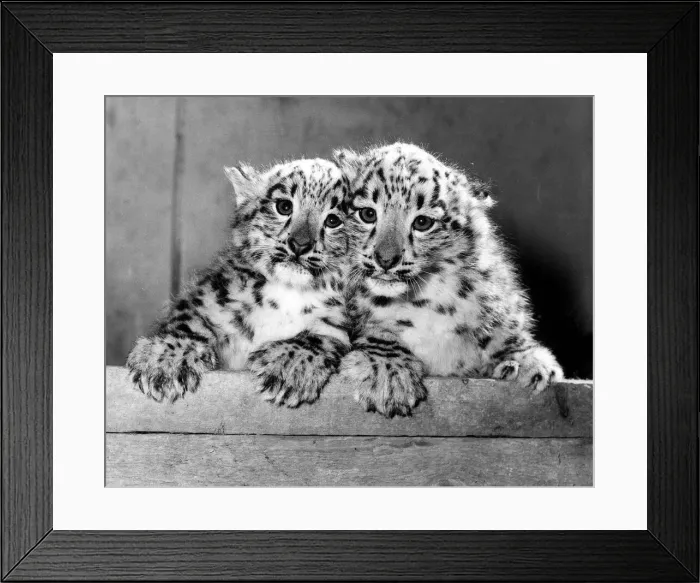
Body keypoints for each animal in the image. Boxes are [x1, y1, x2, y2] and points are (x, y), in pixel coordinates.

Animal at [126, 158, 351, 407]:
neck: (288, 293)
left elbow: (324, 336)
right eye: (284, 206)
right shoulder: (208, 296)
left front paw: (289, 366)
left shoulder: (343, 322)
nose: (300, 244)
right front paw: (163, 361)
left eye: (333, 220)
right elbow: (188, 322)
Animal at [334, 142, 564, 417]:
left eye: (423, 222)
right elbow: (374, 330)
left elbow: (504, 325)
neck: (424, 299)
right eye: (367, 214)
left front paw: (523, 361)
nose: (386, 259)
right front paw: (387, 374)